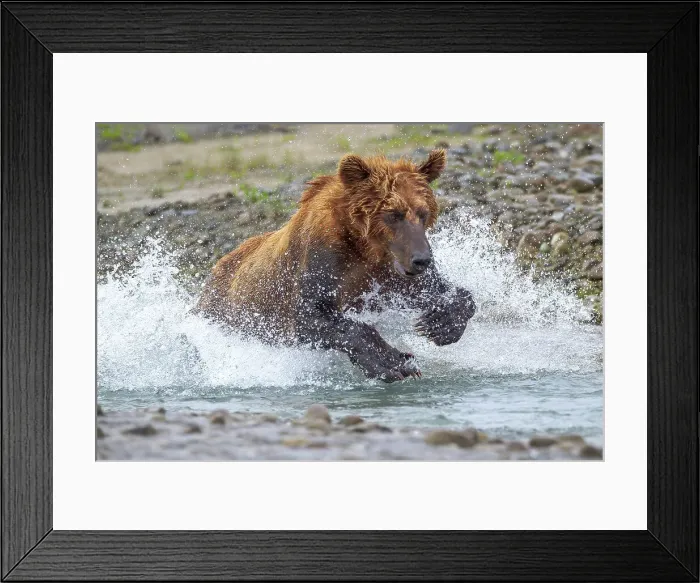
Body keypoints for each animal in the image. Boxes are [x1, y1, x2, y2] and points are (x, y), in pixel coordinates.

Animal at [195, 149, 476, 382]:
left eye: (423, 212)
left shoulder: (390, 273)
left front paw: (440, 323)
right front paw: (394, 363)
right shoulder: (322, 261)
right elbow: (312, 316)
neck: (363, 246)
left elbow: (446, 292)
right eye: (393, 214)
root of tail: (213, 272)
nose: (422, 259)